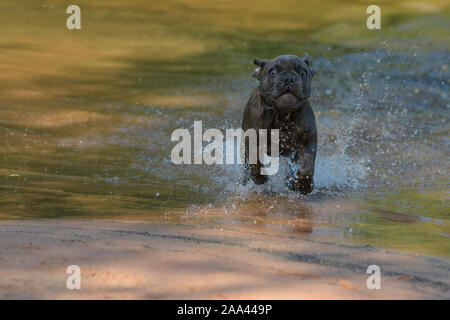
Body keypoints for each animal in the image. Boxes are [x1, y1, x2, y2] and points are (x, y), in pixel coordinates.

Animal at [243, 53, 316, 194]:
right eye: (272, 73)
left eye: (302, 72)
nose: (289, 79)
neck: (283, 115)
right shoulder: (253, 140)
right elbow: (255, 162)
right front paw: (260, 178)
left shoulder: (309, 142)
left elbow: (307, 166)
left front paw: (304, 185)